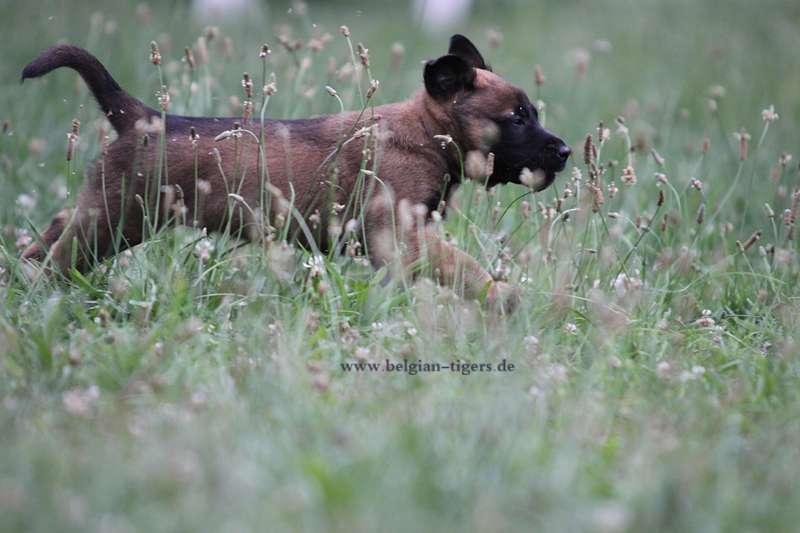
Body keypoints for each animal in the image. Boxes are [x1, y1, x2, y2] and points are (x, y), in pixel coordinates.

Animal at [20, 35, 569, 310]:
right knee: (60, 256)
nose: (565, 151)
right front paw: (503, 297)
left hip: (102, 210)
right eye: (517, 118)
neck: (427, 132)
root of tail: (142, 117)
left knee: (48, 236)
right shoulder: (404, 236)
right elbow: (465, 267)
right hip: (114, 220)